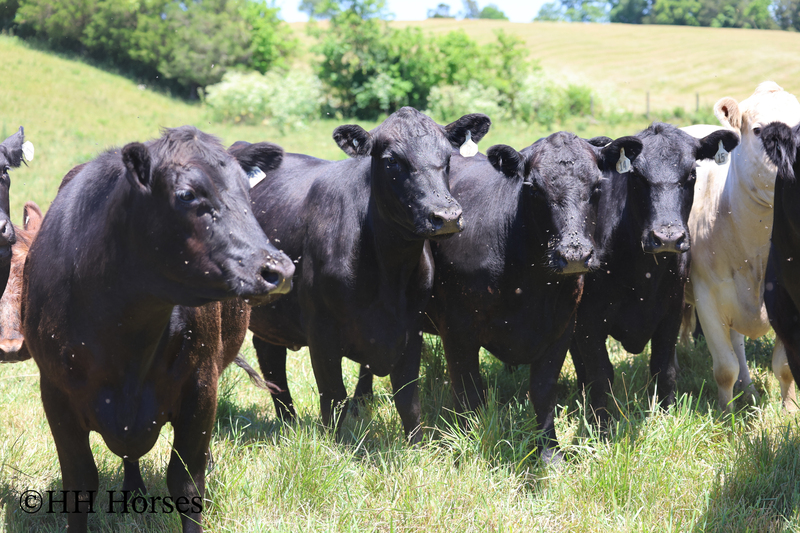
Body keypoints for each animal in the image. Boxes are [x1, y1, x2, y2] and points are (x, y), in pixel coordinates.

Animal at [21, 126, 295, 533]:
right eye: (186, 194)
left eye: (248, 194)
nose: (279, 270)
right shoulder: (56, 395)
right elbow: (80, 484)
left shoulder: (201, 389)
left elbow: (186, 483)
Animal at [247, 108, 492, 442]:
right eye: (391, 160)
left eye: (448, 158)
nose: (447, 216)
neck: (389, 274)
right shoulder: (320, 333)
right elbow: (333, 398)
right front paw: (334, 447)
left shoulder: (410, 327)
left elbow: (408, 398)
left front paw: (416, 445)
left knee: (270, 356)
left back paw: (288, 423)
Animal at [422, 132, 643, 462]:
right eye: (534, 189)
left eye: (597, 187)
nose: (574, 254)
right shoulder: (457, 331)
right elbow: (469, 392)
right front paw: (470, 445)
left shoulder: (561, 329)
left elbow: (542, 390)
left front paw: (550, 451)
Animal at [569, 123, 740, 426]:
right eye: (636, 175)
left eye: (691, 173)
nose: (667, 237)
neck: (643, 275)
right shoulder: (588, 321)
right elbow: (600, 374)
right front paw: (599, 425)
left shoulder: (670, 312)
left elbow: (663, 368)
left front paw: (665, 415)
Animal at [680, 82, 800, 411]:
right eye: (758, 131)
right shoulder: (707, 298)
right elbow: (724, 368)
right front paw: (725, 413)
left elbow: (784, 366)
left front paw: (789, 409)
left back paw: (749, 391)